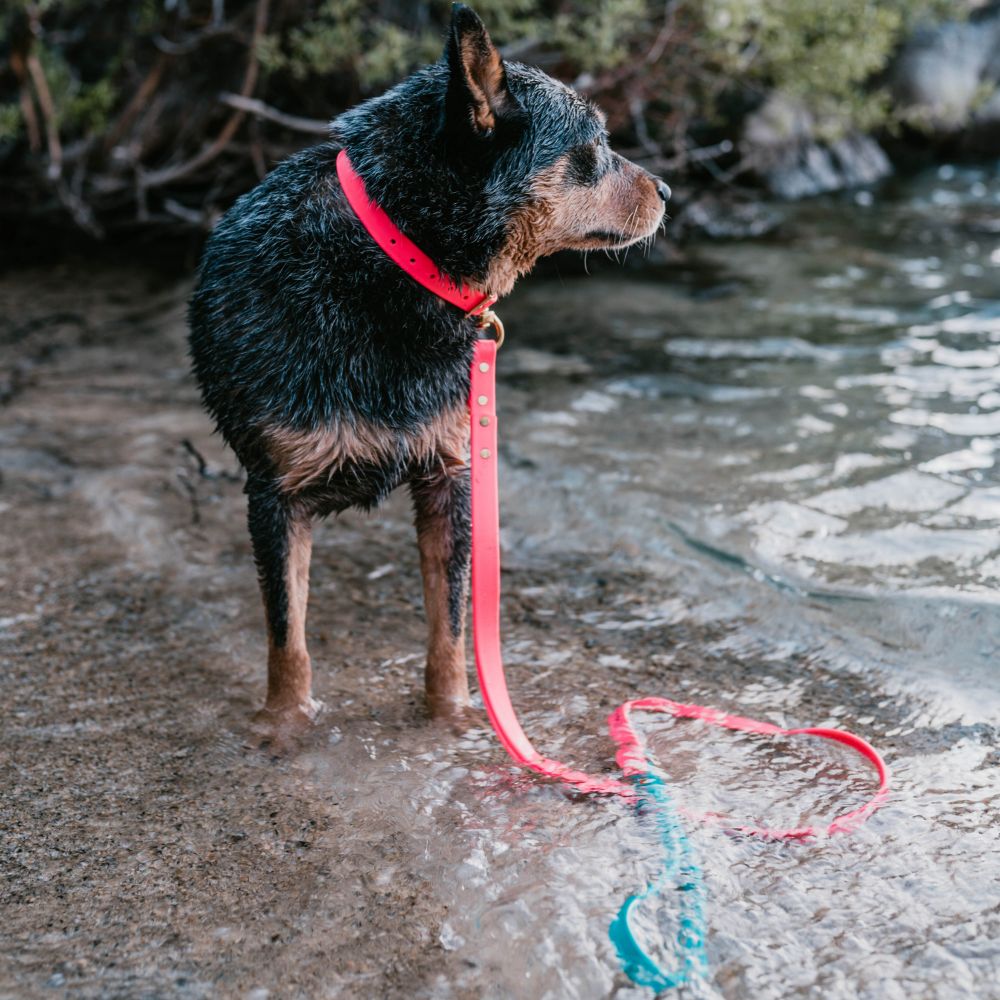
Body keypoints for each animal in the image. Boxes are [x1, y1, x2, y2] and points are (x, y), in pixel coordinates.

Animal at [189, 1, 672, 744]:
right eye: (595, 143)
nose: (669, 188)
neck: (391, 254)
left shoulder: (451, 475)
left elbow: (451, 627)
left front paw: (454, 717)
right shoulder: (276, 495)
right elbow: (287, 637)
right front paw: (286, 722)